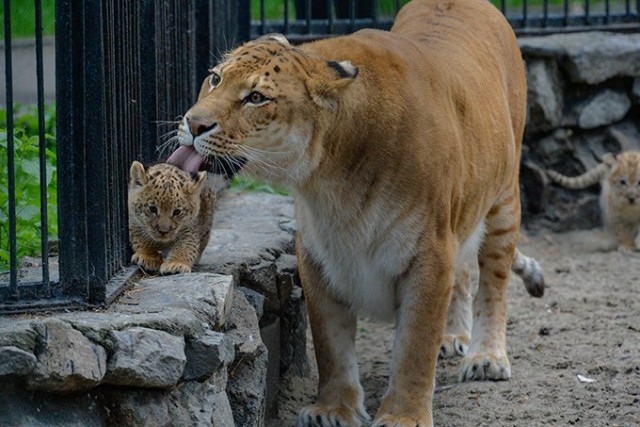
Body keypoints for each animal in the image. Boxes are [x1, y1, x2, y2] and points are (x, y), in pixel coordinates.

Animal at [168, 0, 528, 424]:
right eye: (214, 78)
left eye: (256, 98)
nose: (193, 124)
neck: (332, 179)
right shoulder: (318, 255)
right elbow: (331, 343)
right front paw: (334, 409)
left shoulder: (432, 252)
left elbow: (414, 346)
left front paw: (403, 416)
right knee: (466, 270)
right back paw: (454, 335)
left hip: (504, 200)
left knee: (493, 282)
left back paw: (486, 357)